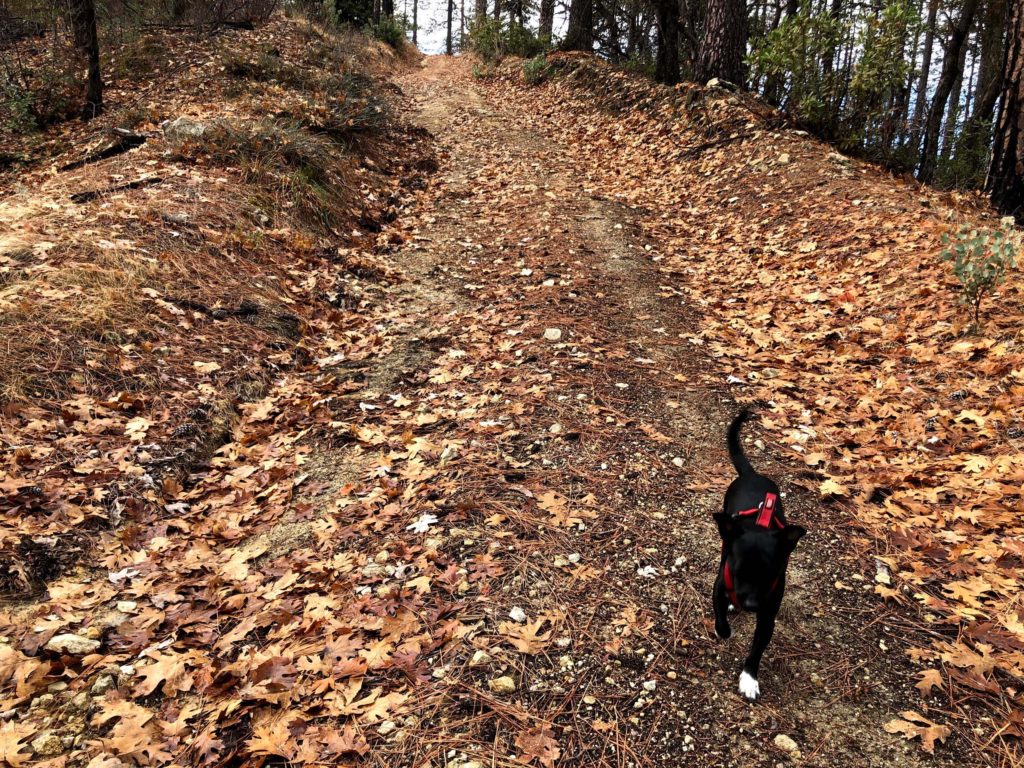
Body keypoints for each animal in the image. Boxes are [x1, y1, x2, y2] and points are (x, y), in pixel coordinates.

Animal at [716, 411, 802, 700]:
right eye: (739, 571)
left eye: (771, 574)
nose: (751, 605)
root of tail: (752, 474)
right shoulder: (720, 584)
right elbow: (719, 613)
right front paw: (723, 630)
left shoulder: (767, 616)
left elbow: (757, 649)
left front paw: (749, 679)